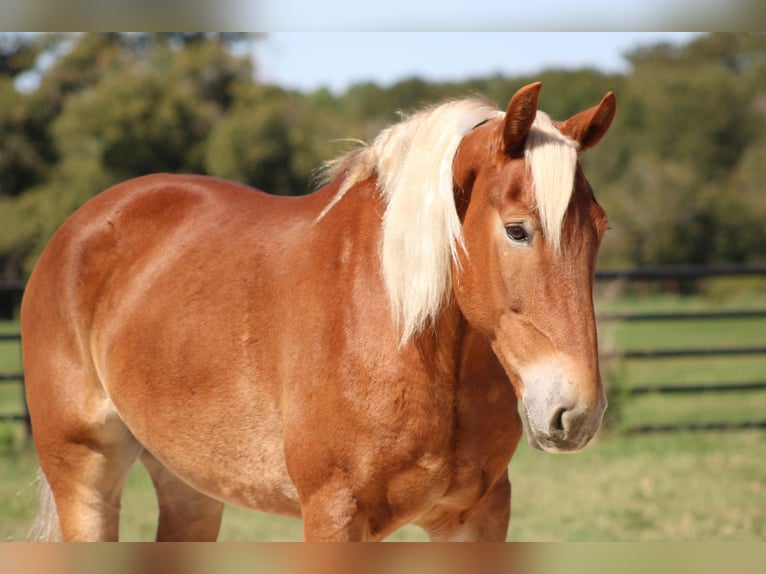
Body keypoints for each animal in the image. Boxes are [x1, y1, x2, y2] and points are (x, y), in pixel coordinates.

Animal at [21, 83, 616, 544]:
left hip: (189, 487)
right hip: (84, 478)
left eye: (600, 229)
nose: (578, 413)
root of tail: (76, 230)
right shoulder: (334, 516)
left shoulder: (477, 518)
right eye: (517, 230)